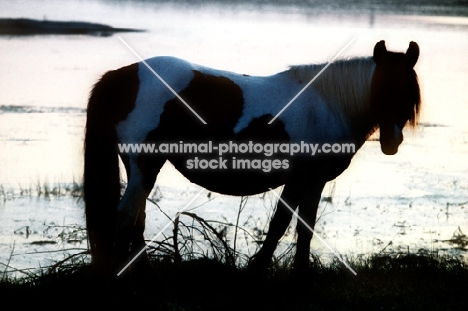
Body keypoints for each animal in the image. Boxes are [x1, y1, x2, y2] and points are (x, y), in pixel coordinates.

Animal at [83, 40, 420, 276]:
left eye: (408, 91)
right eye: (381, 88)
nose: (392, 142)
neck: (328, 104)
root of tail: (122, 76)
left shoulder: (302, 180)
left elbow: (287, 225)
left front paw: (270, 270)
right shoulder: (309, 178)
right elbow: (295, 226)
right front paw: (289, 274)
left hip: (139, 168)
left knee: (136, 218)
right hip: (144, 165)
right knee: (126, 216)